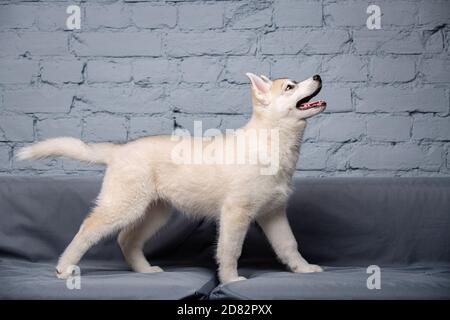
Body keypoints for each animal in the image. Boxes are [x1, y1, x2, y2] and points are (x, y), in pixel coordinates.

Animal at [18, 72, 326, 282]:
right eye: (290, 87)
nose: (317, 76)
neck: (273, 142)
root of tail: (120, 150)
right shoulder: (235, 212)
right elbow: (230, 250)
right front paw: (231, 279)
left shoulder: (273, 212)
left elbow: (289, 244)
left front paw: (304, 269)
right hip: (123, 204)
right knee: (88, 229)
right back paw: (64, 267)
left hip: (156, 211)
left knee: (126, 239)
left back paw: (145, 270)